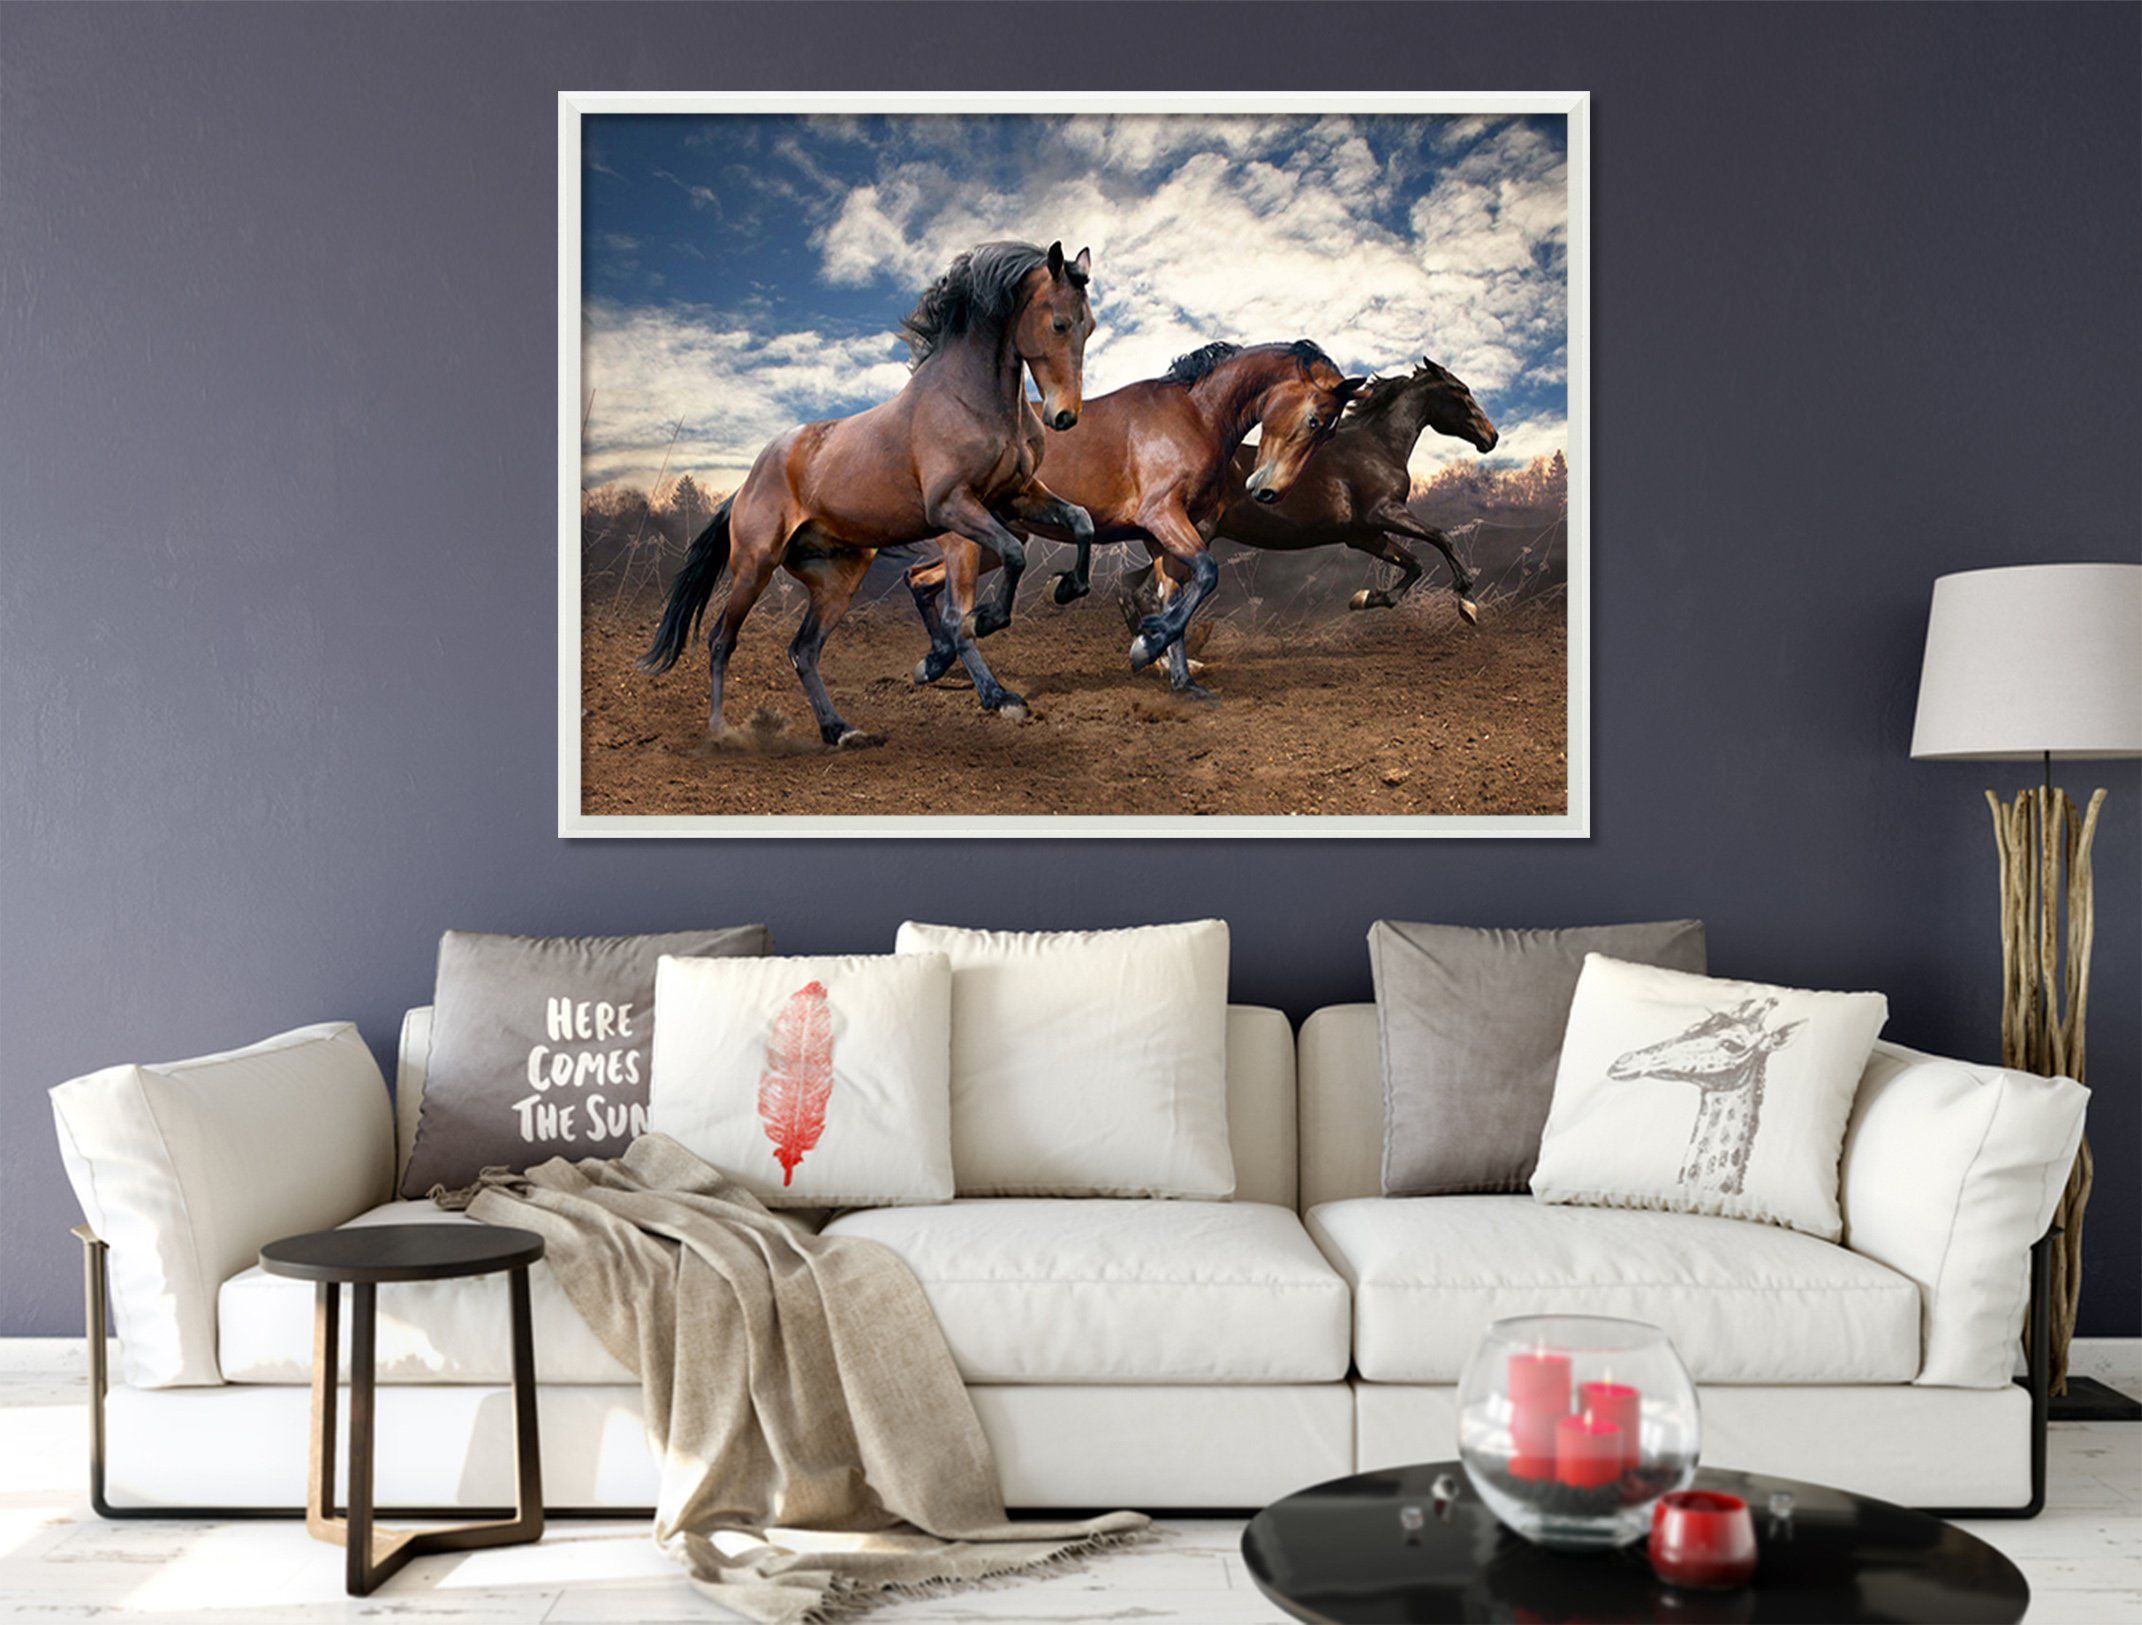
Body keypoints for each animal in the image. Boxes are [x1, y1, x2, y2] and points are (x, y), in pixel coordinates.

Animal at [638, 240, 1095, 745]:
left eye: (1090, 326)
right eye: (1059, 323)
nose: (1065, 417)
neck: (972, 400)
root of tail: (743, 486)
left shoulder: (1017, 495)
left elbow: (1080, 521)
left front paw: (1067, 587)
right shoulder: (953, 507)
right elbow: (1007, 562)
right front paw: (992, 651)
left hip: (839, 577)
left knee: (803, 650)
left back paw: (839, 729)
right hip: (754, 566)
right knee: (722, 639)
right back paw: (722, 730)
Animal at [906, 339, 1364, 703]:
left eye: (1327, 434)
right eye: (1314, 421)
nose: (1268, 491)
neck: (1196, 416)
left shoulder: (1163, 537)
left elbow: (1175, 594)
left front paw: (1182, 680)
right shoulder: (1162, 516)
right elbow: (1207, 574)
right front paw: (1147, 646)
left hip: (994, 541)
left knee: (920, 579)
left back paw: (933, 663)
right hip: (968, 541)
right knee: (955, 615)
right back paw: (996, 695)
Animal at [1205, 355, 1499, 623]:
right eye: (1461, 390)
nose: (1492, 436)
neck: (1377, 446)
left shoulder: (1363, 534)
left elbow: (1414, 563)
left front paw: (1366, 598)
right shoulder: (1383, 512)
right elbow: (1442, 537)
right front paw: (1467, 602)